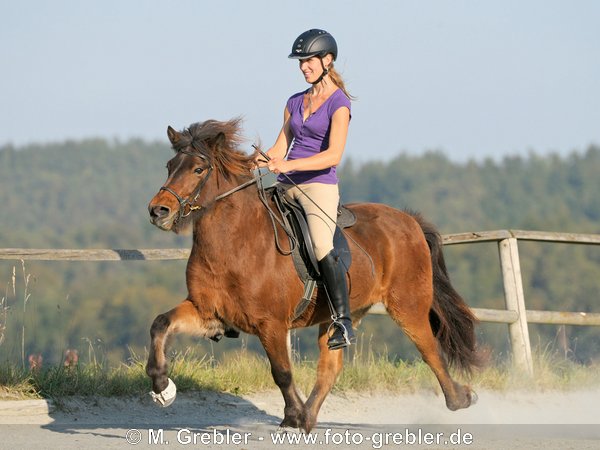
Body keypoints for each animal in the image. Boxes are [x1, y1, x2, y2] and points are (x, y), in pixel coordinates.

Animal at [148, 118, 480, 430]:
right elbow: (160, 324)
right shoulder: (209, 313)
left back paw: (461, 398)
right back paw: (309, 417)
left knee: (431, 352)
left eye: (199, 169)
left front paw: (292, 416)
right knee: (330, 369)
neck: (235, 243)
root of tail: (409, 220)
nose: (158, 211)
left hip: (408, 307)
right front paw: (162, 386)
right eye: (169, 166)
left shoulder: (272, 323)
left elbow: (282, 372)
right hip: (341, 316)